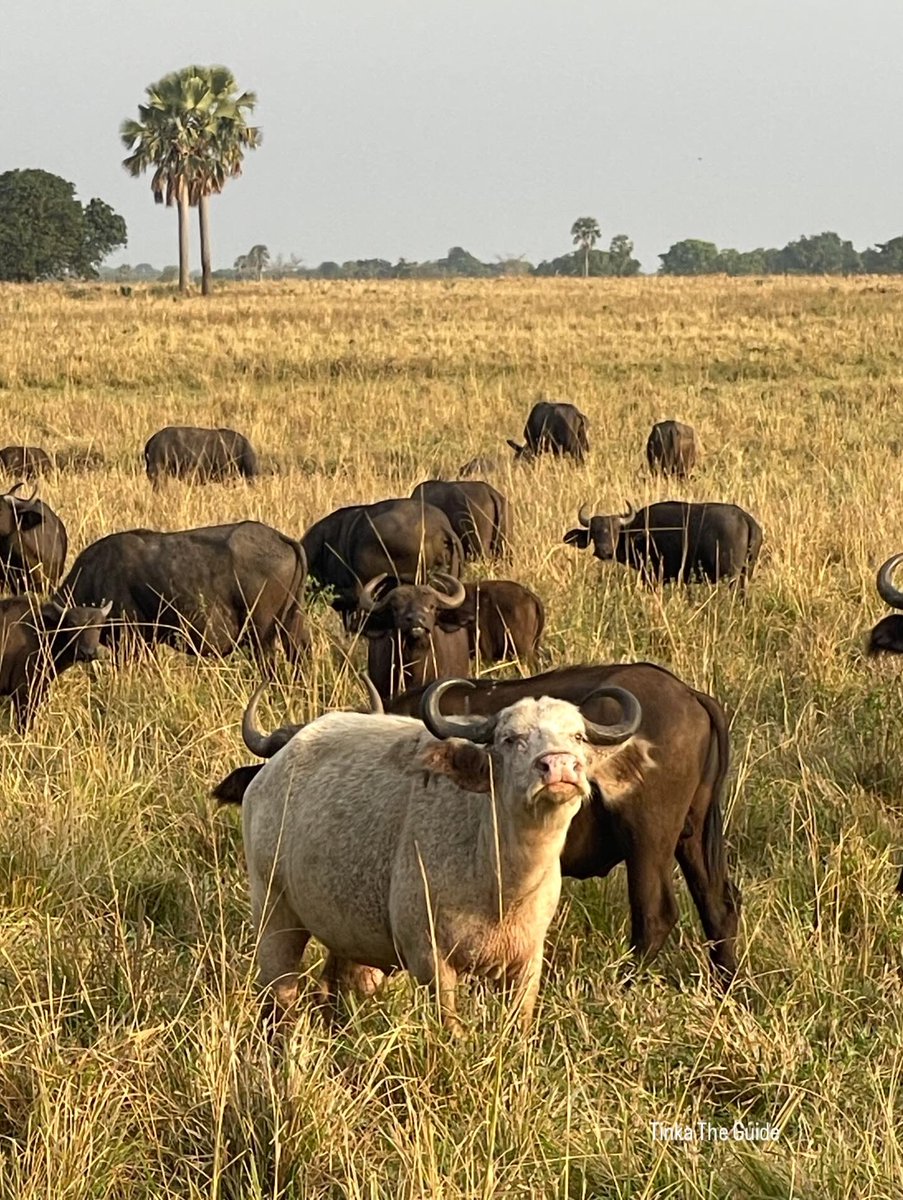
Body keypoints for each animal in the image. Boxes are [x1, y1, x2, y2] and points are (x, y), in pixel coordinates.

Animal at [56, 521, 308, 665]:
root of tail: (280, 537)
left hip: (262, 635)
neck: (93, 575)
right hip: (292, 626)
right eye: (73, 626)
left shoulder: (130, 642)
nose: (88, 653)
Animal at [565, 501, 762, 592]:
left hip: (731, 576)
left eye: (614, 531)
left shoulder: (652, 575)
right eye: (594, 532)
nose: (603, 551)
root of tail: (745, 517)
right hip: (746, 574)